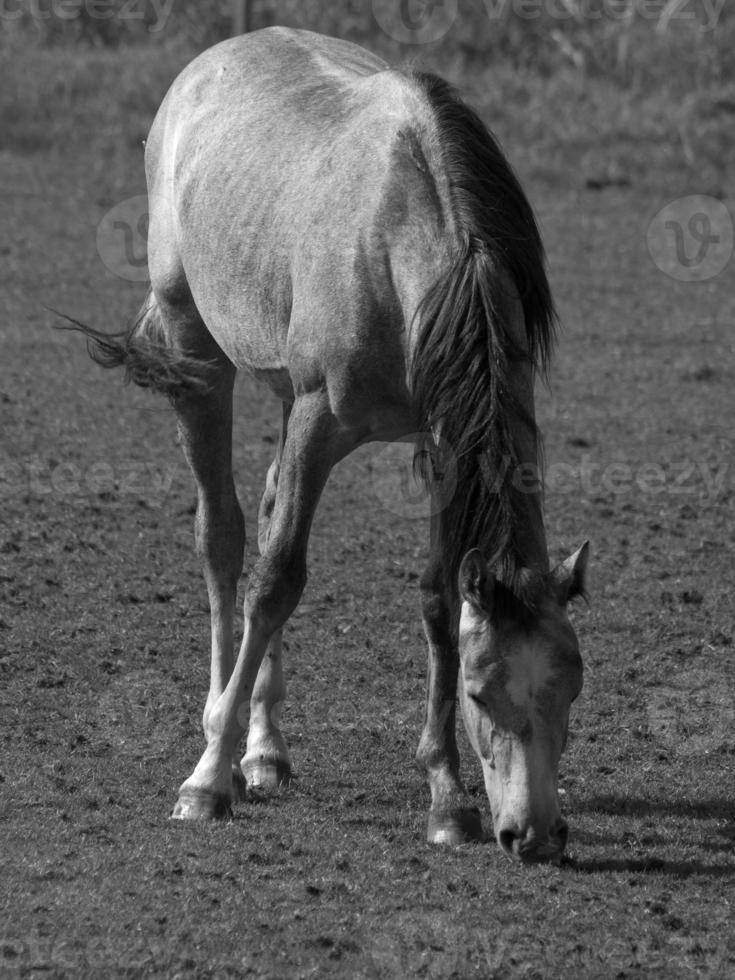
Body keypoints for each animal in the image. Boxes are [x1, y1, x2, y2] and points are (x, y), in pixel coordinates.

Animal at [66, 24, 588, 864]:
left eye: (572, 683)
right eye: (482, 694)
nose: (534, 834)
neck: (399, 244)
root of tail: (209, 63)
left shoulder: (441, 441)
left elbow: (435, 595)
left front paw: (446, 796)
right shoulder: (319, 421)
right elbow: (276, 579)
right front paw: (205, 782)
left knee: (266, 506)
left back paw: (264, 750)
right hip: (199, 357)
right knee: (225, 537)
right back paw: (222, 743)